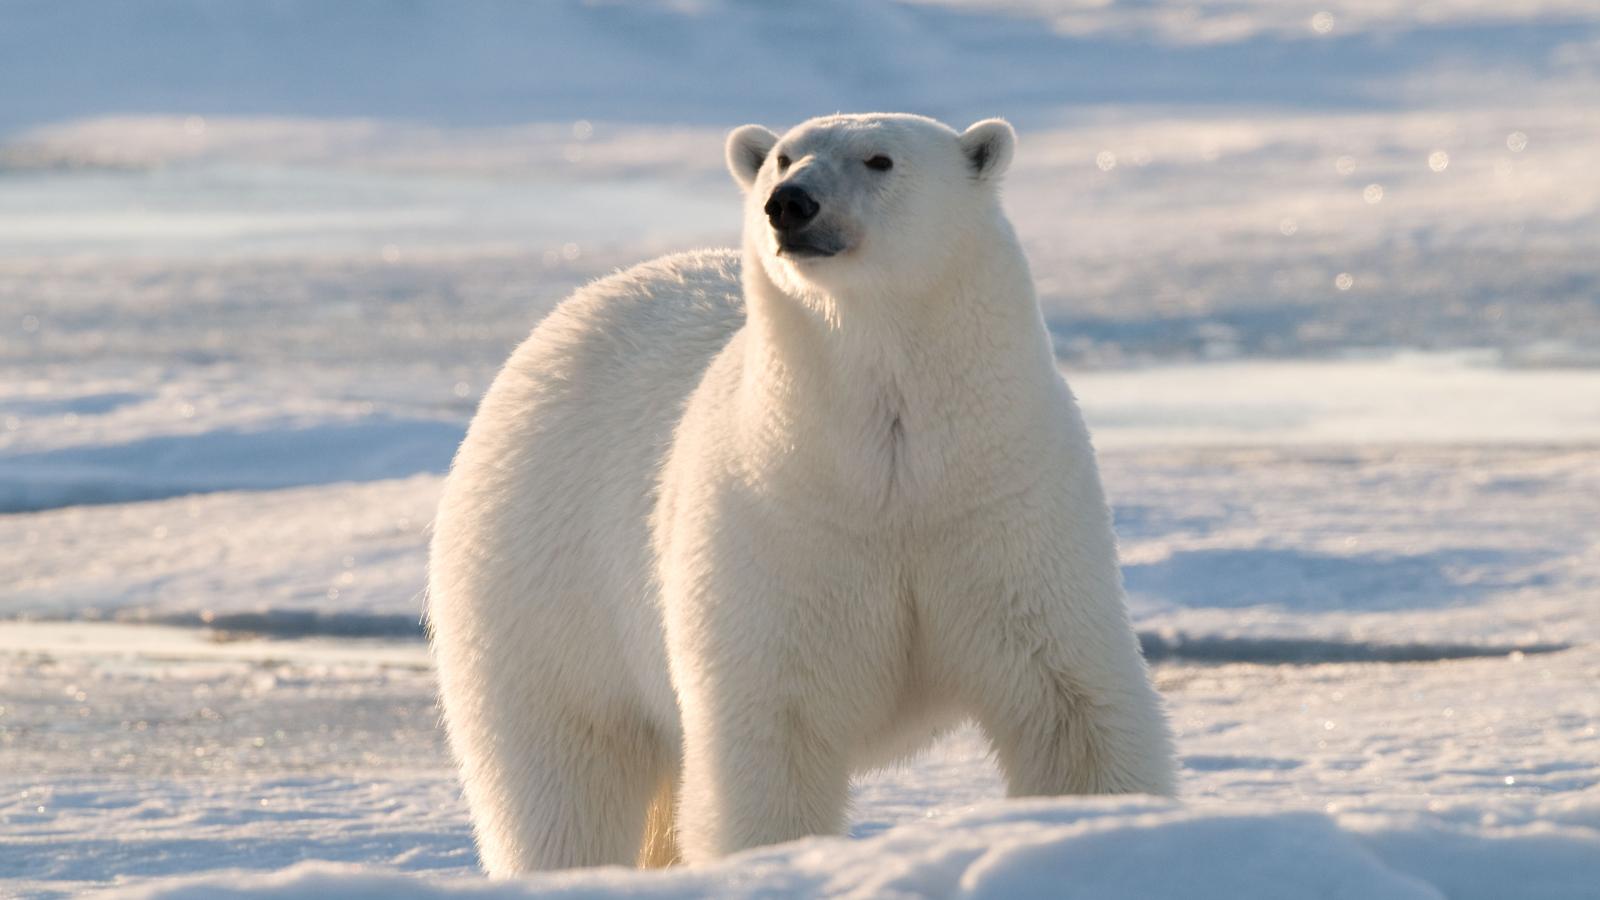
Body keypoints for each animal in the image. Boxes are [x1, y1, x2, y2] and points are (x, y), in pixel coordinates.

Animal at [427, 113, 1177, 876]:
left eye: (880, 159)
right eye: (784, 157)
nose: (789, 203)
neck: (891, 472)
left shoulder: (1007, 505)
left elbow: (1069, 703)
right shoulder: (777, 527)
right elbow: (772, 734)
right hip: (544, 586)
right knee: (564, 777)